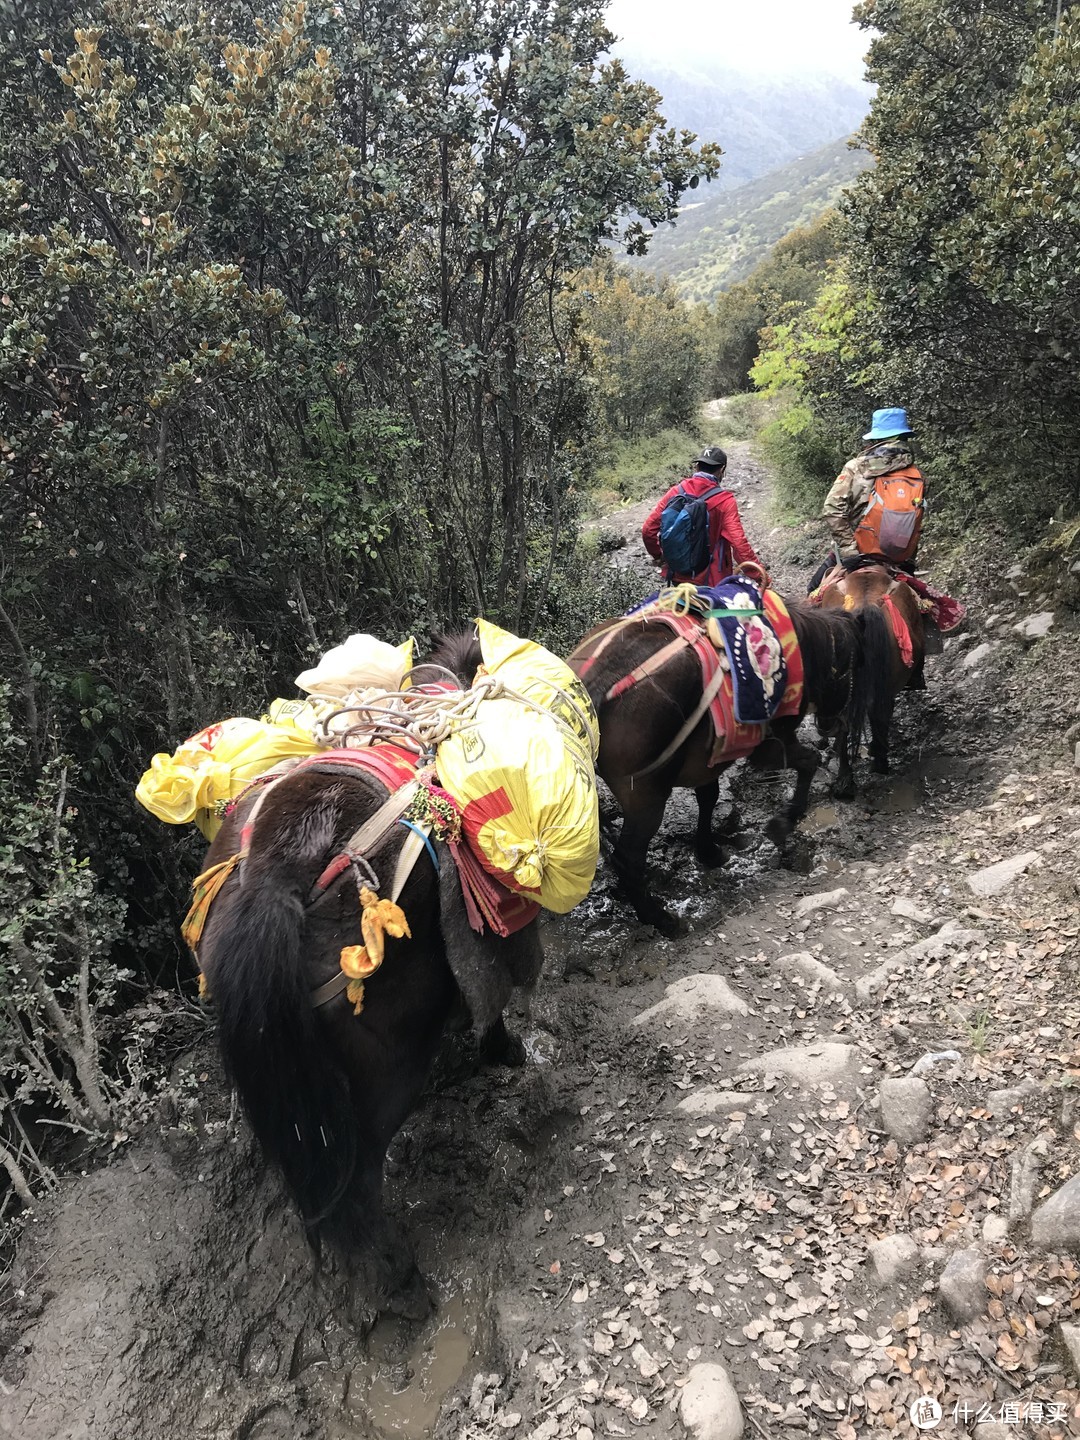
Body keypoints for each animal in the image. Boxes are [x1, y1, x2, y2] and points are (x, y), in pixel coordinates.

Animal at [194, 636, 541, 1319]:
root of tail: (281, 865)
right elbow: (494, 994)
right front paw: (503, 1049)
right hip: (390, 1066)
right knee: (359, 1182)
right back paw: (399, 1283)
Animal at [570, 596, 881, 933]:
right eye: (858, 665)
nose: (831, 725)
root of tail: (597, 686)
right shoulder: (771, 746)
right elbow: (809, 762)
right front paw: (785, 820)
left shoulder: (707, 758)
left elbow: (709, 798)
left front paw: (709, 851)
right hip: (646, 797)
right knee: (628, 858)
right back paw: (660, 919)